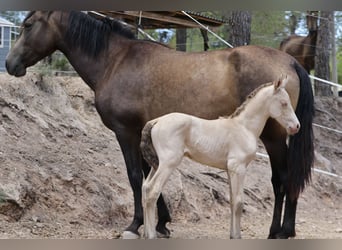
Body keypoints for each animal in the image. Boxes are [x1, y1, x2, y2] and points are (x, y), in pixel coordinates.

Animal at [139, 76, 300, 238]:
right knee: (153, 191)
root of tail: (157, 121)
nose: (296, 126)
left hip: (157, 164)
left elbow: (233, 202)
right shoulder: (238, 168)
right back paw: (151, 235)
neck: (244, 128)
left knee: (145, 188)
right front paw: (237, 236)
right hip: (168, 164)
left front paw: (232, 235)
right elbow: (239, 202)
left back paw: (145, 233)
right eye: (284, 103)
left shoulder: (229, 170)